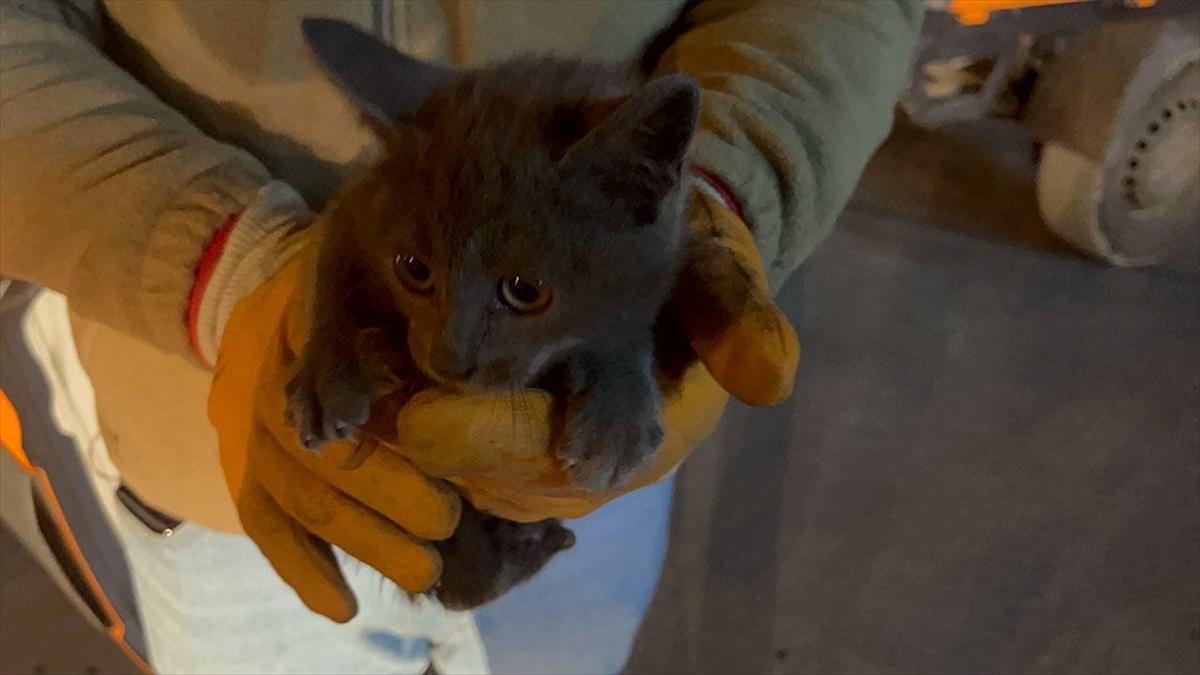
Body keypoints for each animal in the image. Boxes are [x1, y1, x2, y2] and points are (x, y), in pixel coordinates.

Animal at [288, 19, 696, 610]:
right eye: (413, 269)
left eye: (525, 290)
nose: (447, 360)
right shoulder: (357, 205)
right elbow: (332, 262)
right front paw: (327, 373)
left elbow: (625, 322)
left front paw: (618, 409)